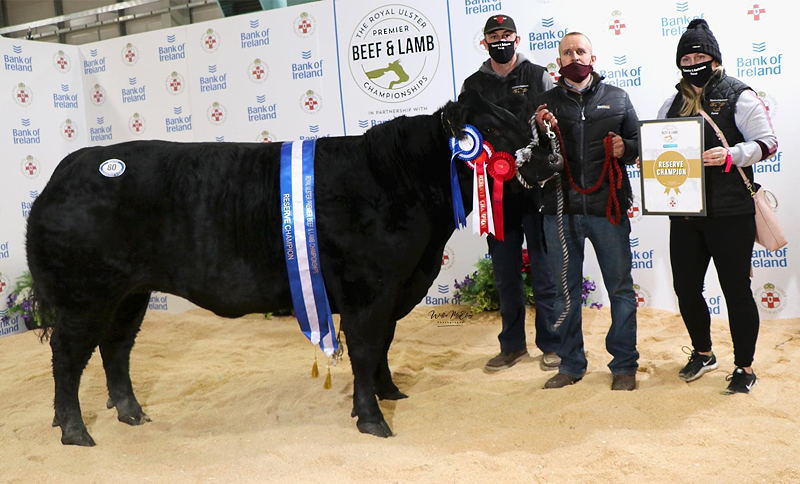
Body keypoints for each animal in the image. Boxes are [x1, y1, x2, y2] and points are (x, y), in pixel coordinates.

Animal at [25, 91, 536, 446]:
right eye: (492, 132)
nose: (546, 159)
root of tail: (66, 170)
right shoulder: (370, 291)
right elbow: (367, 349)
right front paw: (372, 419)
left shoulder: (393, 289)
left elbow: (384, 346)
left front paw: (389, 393)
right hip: (84, 295)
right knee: (68, 356)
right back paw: (75, 431)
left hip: (130, 293)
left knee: (116, 348)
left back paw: (131, 413)